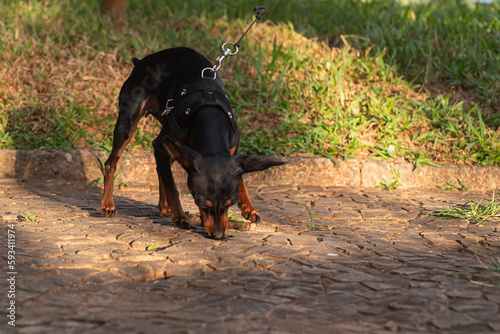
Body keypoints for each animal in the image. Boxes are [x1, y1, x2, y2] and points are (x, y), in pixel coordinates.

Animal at [100, 47, 286, 240]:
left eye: (230, 203)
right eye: (200, 203)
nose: (218, 235)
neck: (209, 117)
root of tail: (143, 61)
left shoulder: (231, 150)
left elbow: (240, 178)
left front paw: (249, 208)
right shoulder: (162, 145)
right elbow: (173, 188)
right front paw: (180, 217)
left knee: (161, 168)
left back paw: (163, 207)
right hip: (129, 122)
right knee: (111, 163)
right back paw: (108, 204)